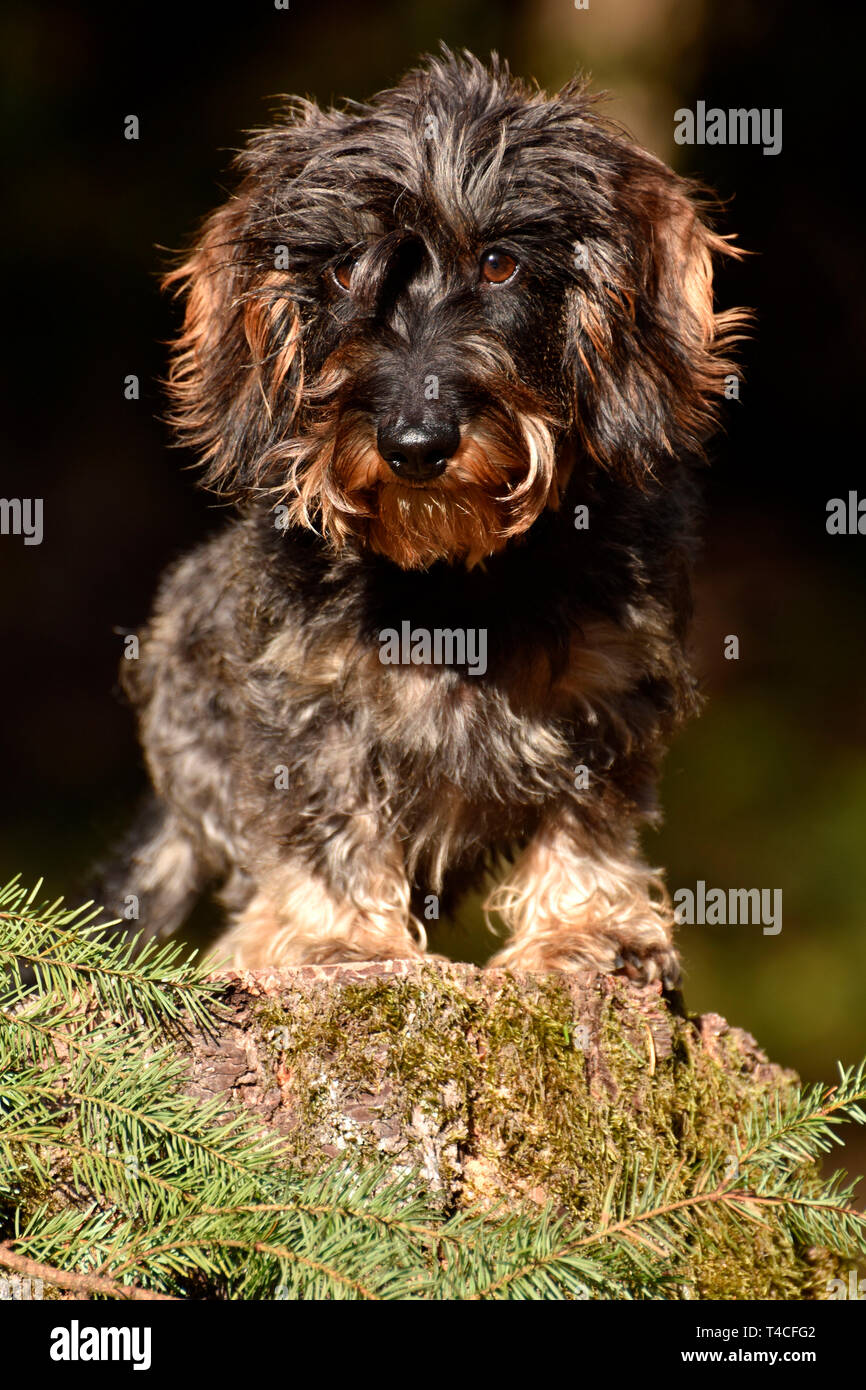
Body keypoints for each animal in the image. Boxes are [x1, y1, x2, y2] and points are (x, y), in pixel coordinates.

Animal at [107, 54, 745, 984]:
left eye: (500, 264)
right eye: (343, 272)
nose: (415, 443)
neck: (454, 582)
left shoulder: (608, 694)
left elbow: (587, 820)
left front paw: (587, 932)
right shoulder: (311, 704)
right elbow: (328, 819)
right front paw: (336, 937)